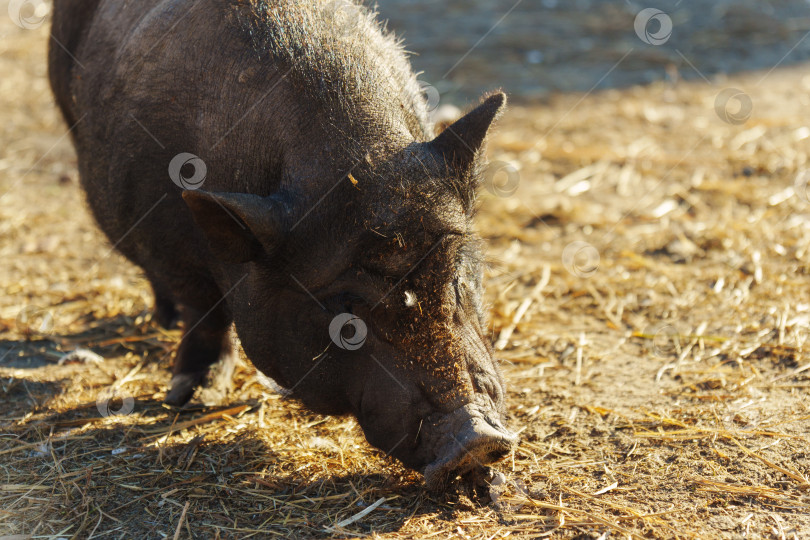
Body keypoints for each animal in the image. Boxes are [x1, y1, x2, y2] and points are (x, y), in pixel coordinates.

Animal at [49, 0, 516, 489]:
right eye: (345, 316)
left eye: (455, 275)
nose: (477, 438)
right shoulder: (163, 239)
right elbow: (203, 309)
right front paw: (191, 396)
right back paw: (165, 322)